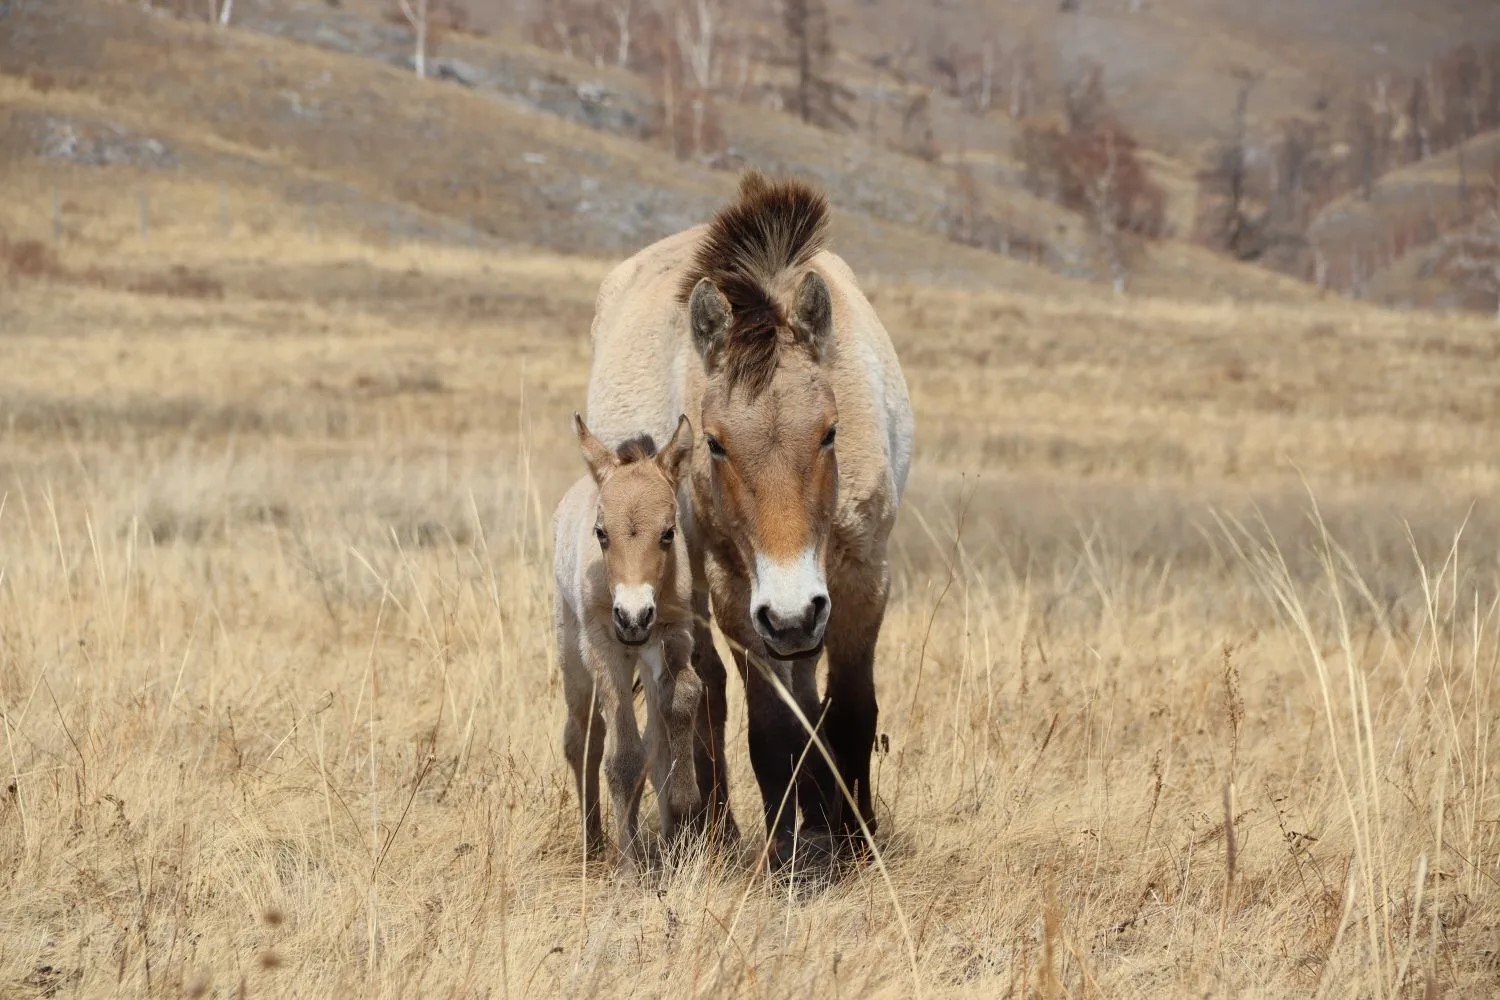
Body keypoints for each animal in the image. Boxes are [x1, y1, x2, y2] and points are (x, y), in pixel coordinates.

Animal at [584, 171, 914, 868]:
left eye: (830, 432)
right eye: (714, 443)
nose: (790, 614)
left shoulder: (862, 578)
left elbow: (849, 711)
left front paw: (856, 840)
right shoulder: (739, 592)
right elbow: (769, 724)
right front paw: (793, 851)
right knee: (706, 692)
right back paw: (718, 826)